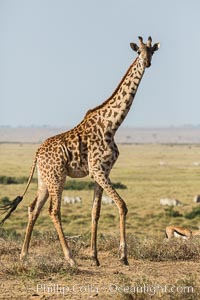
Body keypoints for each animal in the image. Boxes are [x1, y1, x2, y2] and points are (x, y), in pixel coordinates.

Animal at [0, 35, 159, 268]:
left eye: (152, 51)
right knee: (53, 211)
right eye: (138, 52)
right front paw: (123, 256)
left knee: (33, 208)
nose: (147, 63)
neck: (112, 124)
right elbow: (122, 205)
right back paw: (70, 258)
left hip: (44, 179)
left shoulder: (102, 172)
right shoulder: (97, 170)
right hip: (57, 177)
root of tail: (37, 153)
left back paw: (24, 255)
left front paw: (95, 257)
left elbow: (95, 212)